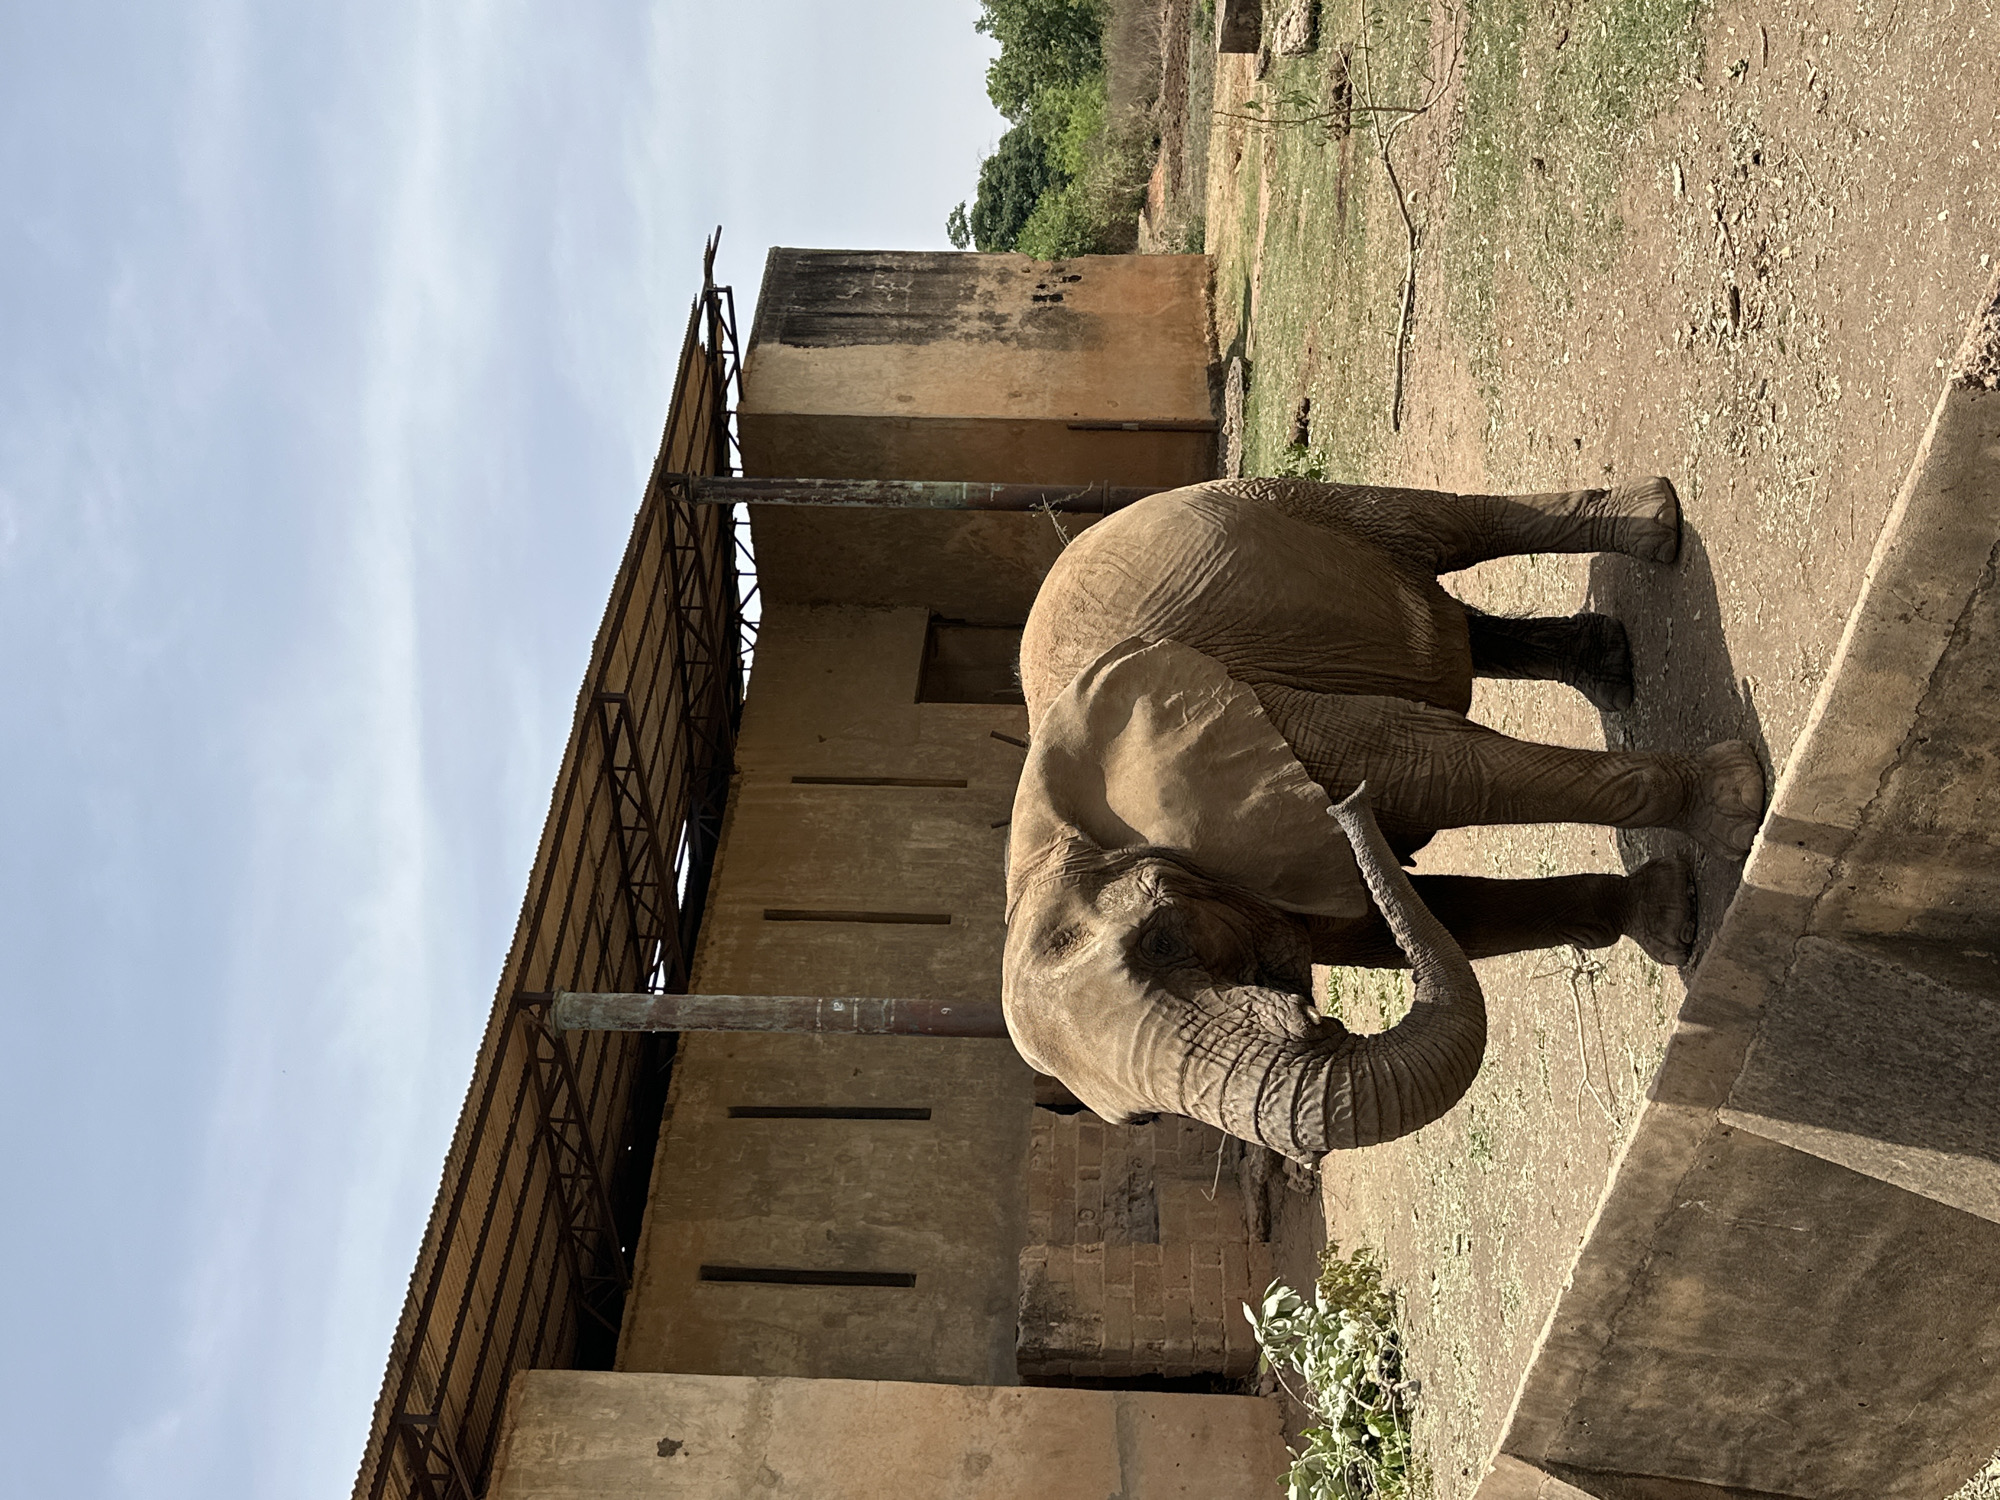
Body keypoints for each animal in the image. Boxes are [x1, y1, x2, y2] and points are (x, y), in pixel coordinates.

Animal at [1001, 476, 1766, 1163]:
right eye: (1139, 1121)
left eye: (1161, 939)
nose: (1351, 814)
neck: (1061, 842)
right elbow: (1427, 920)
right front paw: (1666, 916)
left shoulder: (1270, 721)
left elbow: (1443, 772)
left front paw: (1733, 805)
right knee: (1452, 629)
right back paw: (1608, 666)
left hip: (1271, 496)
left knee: (1440, 528)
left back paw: (1656, 526)